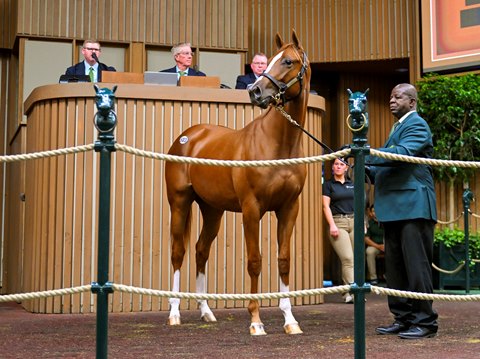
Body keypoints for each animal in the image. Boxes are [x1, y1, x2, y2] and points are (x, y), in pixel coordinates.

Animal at [163, 29, 310, 336]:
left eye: (288, 61)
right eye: (270, 60)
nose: (255, 91)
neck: (277, 144)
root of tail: (187, 137)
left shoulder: (289, 208)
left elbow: (284, 260)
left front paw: (290, 319)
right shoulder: (252, 210)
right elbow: (255, 261)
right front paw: (255, 320)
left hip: (212, 210)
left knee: (201, 250)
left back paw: (206, 311)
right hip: (179, 203)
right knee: (178, 252)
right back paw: (174, 313)